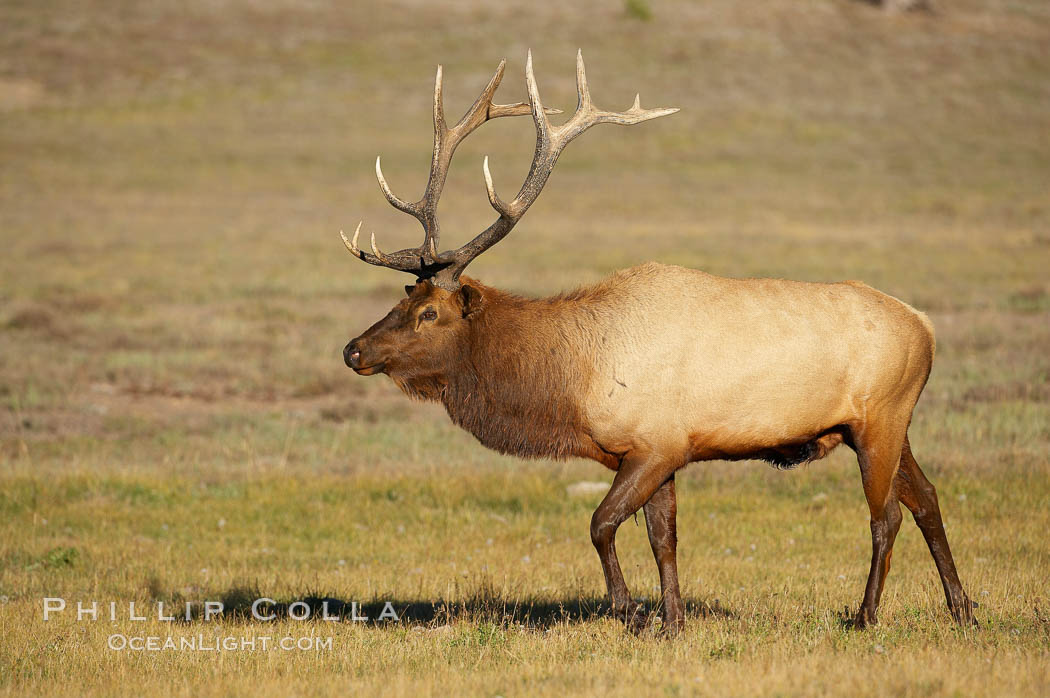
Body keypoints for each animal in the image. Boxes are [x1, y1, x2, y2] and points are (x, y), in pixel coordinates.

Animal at [342, 51, 974, 633]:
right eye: (403, 298)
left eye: (428, 312)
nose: (353, 349)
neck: (573, 384)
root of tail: (926, 327)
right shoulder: (659, 450)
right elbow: (662, 536)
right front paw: (672, 621)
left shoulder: (654, 445)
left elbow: (600, 524)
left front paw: (631, 611)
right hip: (884, 424)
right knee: (928, 498)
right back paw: (963, 609)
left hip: (879, 421)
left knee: (886, 515)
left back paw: (866, 615)